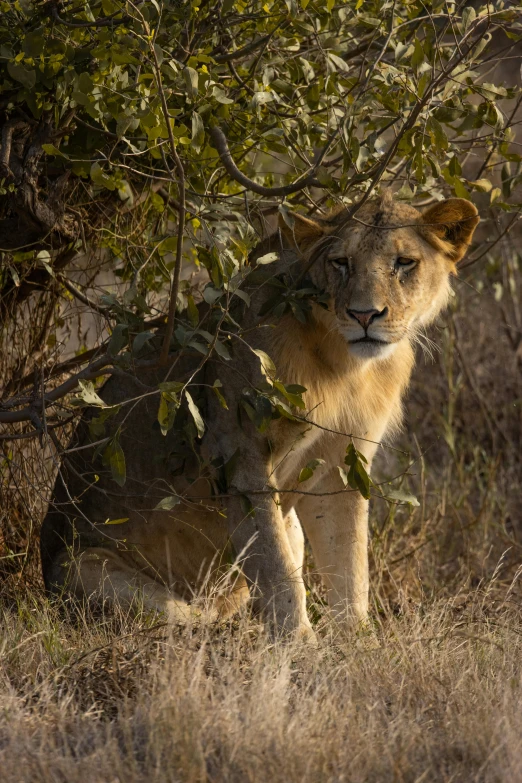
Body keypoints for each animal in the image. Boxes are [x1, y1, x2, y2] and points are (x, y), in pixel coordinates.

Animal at [40, 191, 478, 644]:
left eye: (404, 262)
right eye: (341, 262)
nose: (364, 315)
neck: (346, 365)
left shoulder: (343, 462)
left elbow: (351, 561)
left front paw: (357, 638)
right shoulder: (238, 452)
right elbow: (275, 564)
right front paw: (300, 644)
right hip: (84, 568)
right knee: (187, 619)